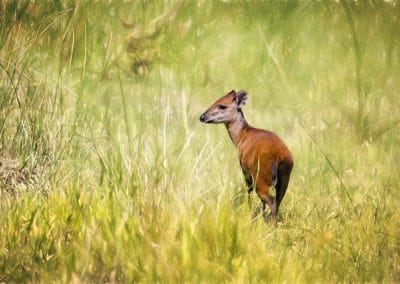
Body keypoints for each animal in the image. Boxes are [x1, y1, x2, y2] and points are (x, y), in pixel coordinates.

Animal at [200, 90, 294, 219]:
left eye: (222, 106)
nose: (202, 117)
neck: (241, 137)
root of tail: (278, 156)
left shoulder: (245, 169)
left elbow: (249, 191)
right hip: (284, 177)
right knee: (277, 200)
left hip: (261, 177)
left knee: (271, 201)